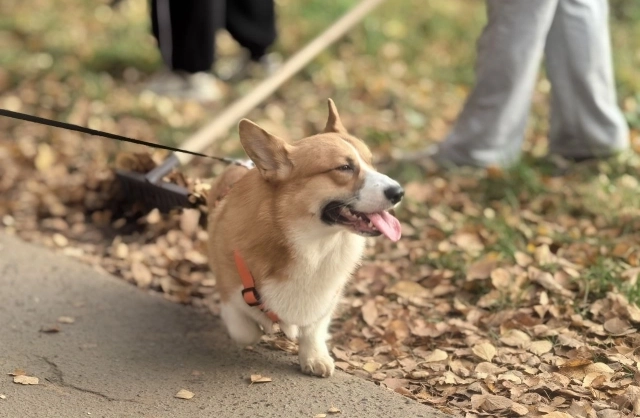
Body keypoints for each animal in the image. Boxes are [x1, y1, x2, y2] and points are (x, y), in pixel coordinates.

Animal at [208, 99, 402, 378]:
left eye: (372, 163)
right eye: (344, 167)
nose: (399, 192)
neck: (315, 246)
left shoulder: (326, 299)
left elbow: (314, 328)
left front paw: (314, 357)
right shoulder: (231, 294)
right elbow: (246, 331)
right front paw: (269, 328)